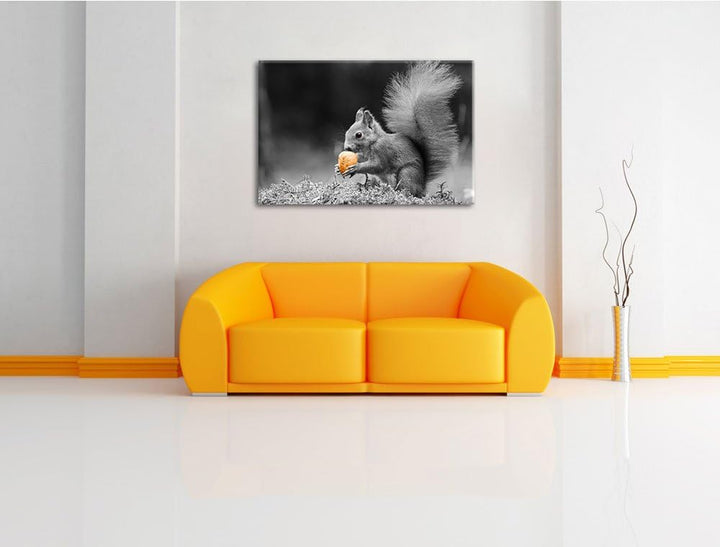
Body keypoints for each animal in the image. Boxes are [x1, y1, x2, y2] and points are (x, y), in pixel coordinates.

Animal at [335, 61, 462, 197]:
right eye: (347, 132)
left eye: (359, 135)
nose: (347, 148)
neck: (374, 142)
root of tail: (422, 187)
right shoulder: (364, 154)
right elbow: (361, 158)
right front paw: (338, 167)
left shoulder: (382, 150)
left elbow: (378, 165)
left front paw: (356, 168)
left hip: (407, 173)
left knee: (406, 189)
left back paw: (396, 192)